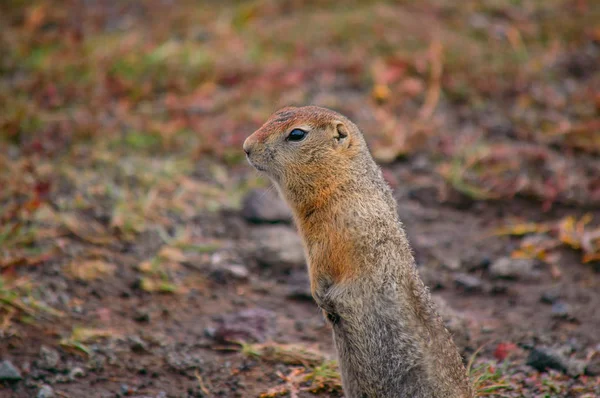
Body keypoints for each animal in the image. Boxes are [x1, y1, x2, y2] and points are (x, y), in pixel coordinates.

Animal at [243, 106, 474, 398]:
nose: (245, 147)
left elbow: (327, 263)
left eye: (297, 134)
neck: (343, 180)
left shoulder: (338, 233)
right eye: (279, 112)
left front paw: (319, 295)